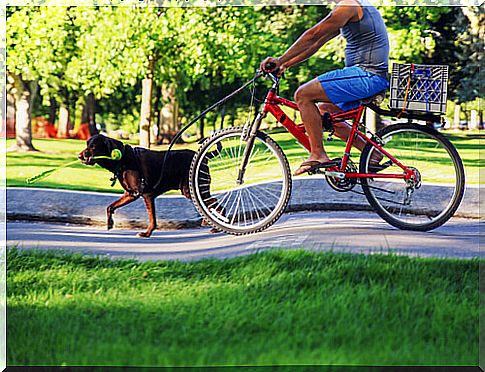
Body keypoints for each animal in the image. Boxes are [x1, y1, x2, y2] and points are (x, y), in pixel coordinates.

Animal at [78, 135, 219, 237]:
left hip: (190, 189)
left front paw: (147, 233)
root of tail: (205, 157)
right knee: (212, 202)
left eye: (93, 146)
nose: (79, 156)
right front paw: (109, 223)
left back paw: (215, 227)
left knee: (213, 202)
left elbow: (152, 218)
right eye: (87, 144)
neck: (123, 159)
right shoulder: (131, 194)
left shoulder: (147, 195)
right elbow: (110, 207)